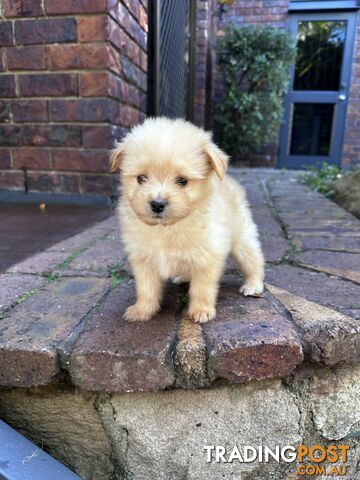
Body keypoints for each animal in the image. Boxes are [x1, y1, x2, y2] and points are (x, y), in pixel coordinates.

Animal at [109, 116, 264, 322]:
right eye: (141, 178)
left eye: (182, 181)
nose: (157, 204)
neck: (166, 228)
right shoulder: (143, 259)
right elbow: (146, 288)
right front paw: (142, 310)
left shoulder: (207, 257)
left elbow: (202, 288)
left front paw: (201, 310)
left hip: (243, 240)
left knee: (254, 261)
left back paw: (254, 285)